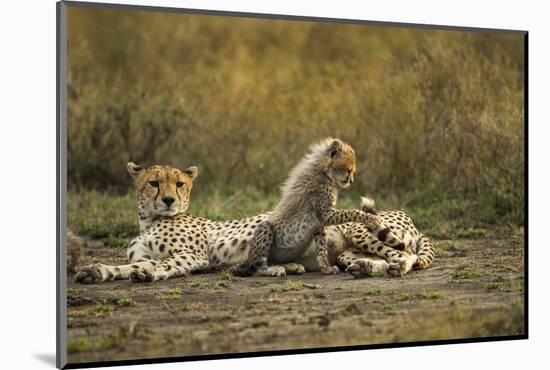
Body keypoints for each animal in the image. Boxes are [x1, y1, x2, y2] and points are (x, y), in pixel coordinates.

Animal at [74, 163, 436, 284]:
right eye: (153, 183)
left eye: (179, 184)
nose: (168, 200)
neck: (148, 221)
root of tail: (409, 215)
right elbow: (125, 266)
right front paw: (96, 271)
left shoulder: (194, 256)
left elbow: (166, 264)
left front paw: (148, 274)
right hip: (346, 249)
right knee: (374, 258)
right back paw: (363, 268)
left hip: (359, 229)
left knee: (406, 256)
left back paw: (395, 268)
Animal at [235, 139, 408, 278]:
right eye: (349, 170)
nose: (351, 181)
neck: (324, 172)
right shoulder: (326, 215)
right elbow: (353, 211)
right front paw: (371, 218)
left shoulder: (318, 224)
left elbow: (321, 248)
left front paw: (326, 268)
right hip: (265, 229)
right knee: (257, 267)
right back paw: (273, 270)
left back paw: (291, 266)